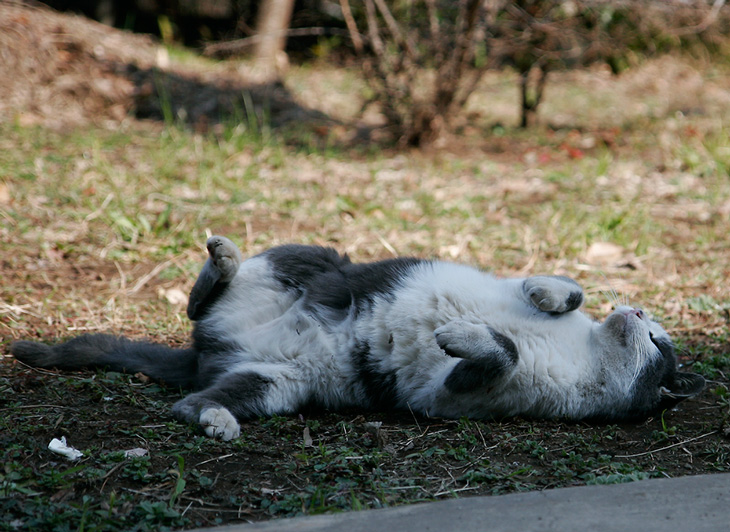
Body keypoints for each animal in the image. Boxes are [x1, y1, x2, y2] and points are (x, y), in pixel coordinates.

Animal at [9, 234, 700, 440]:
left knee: (193, 398)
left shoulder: (457, 392)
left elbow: (495, 350)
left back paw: (215, 421)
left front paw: (463, 333)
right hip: (315, 259)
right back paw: (224, 258)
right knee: (204, 295)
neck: (586, 350)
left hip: (274, 384)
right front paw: (548, 296)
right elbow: (564, 287)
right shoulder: (519, 290)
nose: (639, 310)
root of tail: (206, 354)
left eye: (658, 346)